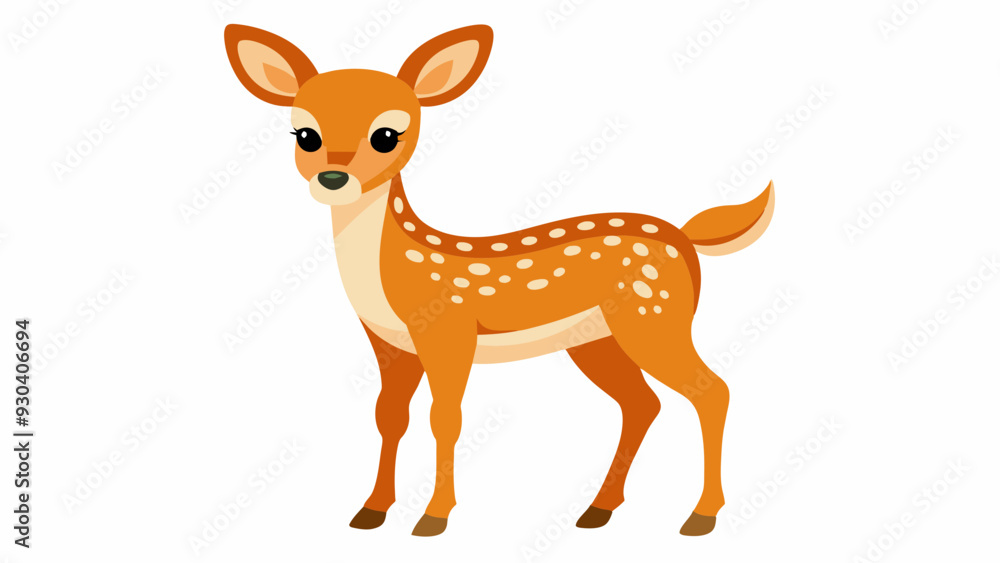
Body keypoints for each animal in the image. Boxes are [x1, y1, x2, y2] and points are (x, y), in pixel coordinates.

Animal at [224, 23, 774, 537]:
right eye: (305, 135)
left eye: (386, 135)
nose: (333, 179)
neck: (393, 272)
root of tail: (685, 238)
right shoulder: (389, 344)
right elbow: (389, 416)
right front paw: (371, 511)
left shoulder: (447, 331)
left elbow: (445, 418)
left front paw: (433, 517)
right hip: (597, 339)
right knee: (643, 403)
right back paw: (598, 510)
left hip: (655, 314)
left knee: (711, 390)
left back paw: (701, 515)